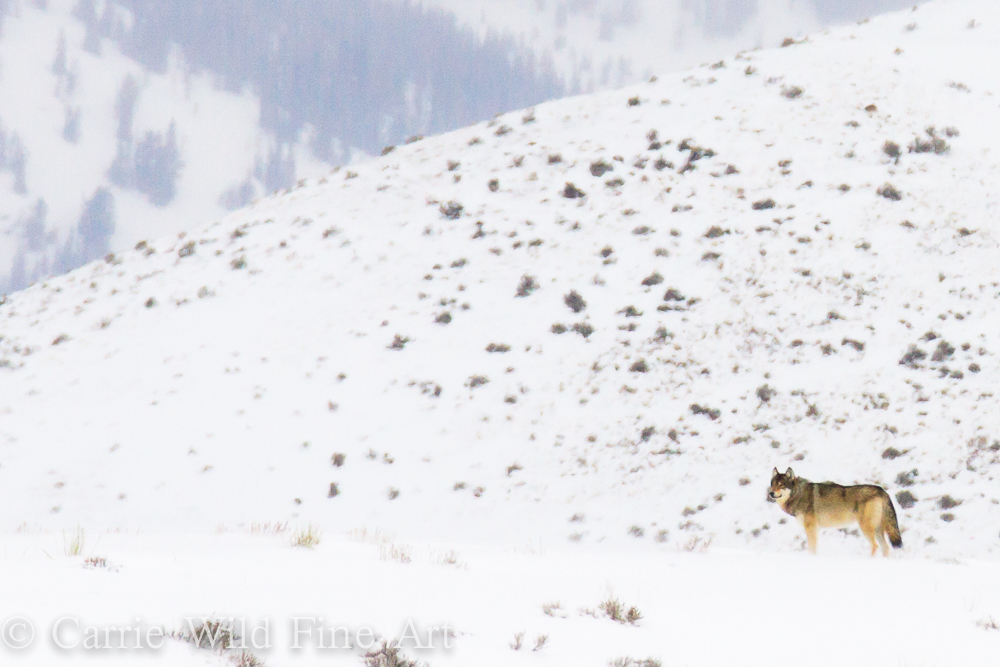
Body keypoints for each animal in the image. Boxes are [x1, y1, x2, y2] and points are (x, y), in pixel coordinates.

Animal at [768, 470, 904, 560]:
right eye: (772, 483)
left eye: (781, 484)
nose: (771, 493)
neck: (798, 494)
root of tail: (882, 490)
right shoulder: (815, 529)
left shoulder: (810, 528)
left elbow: (811, 549)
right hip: (877, 529)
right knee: (885, 548)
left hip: (866, 528)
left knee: (875, 546)